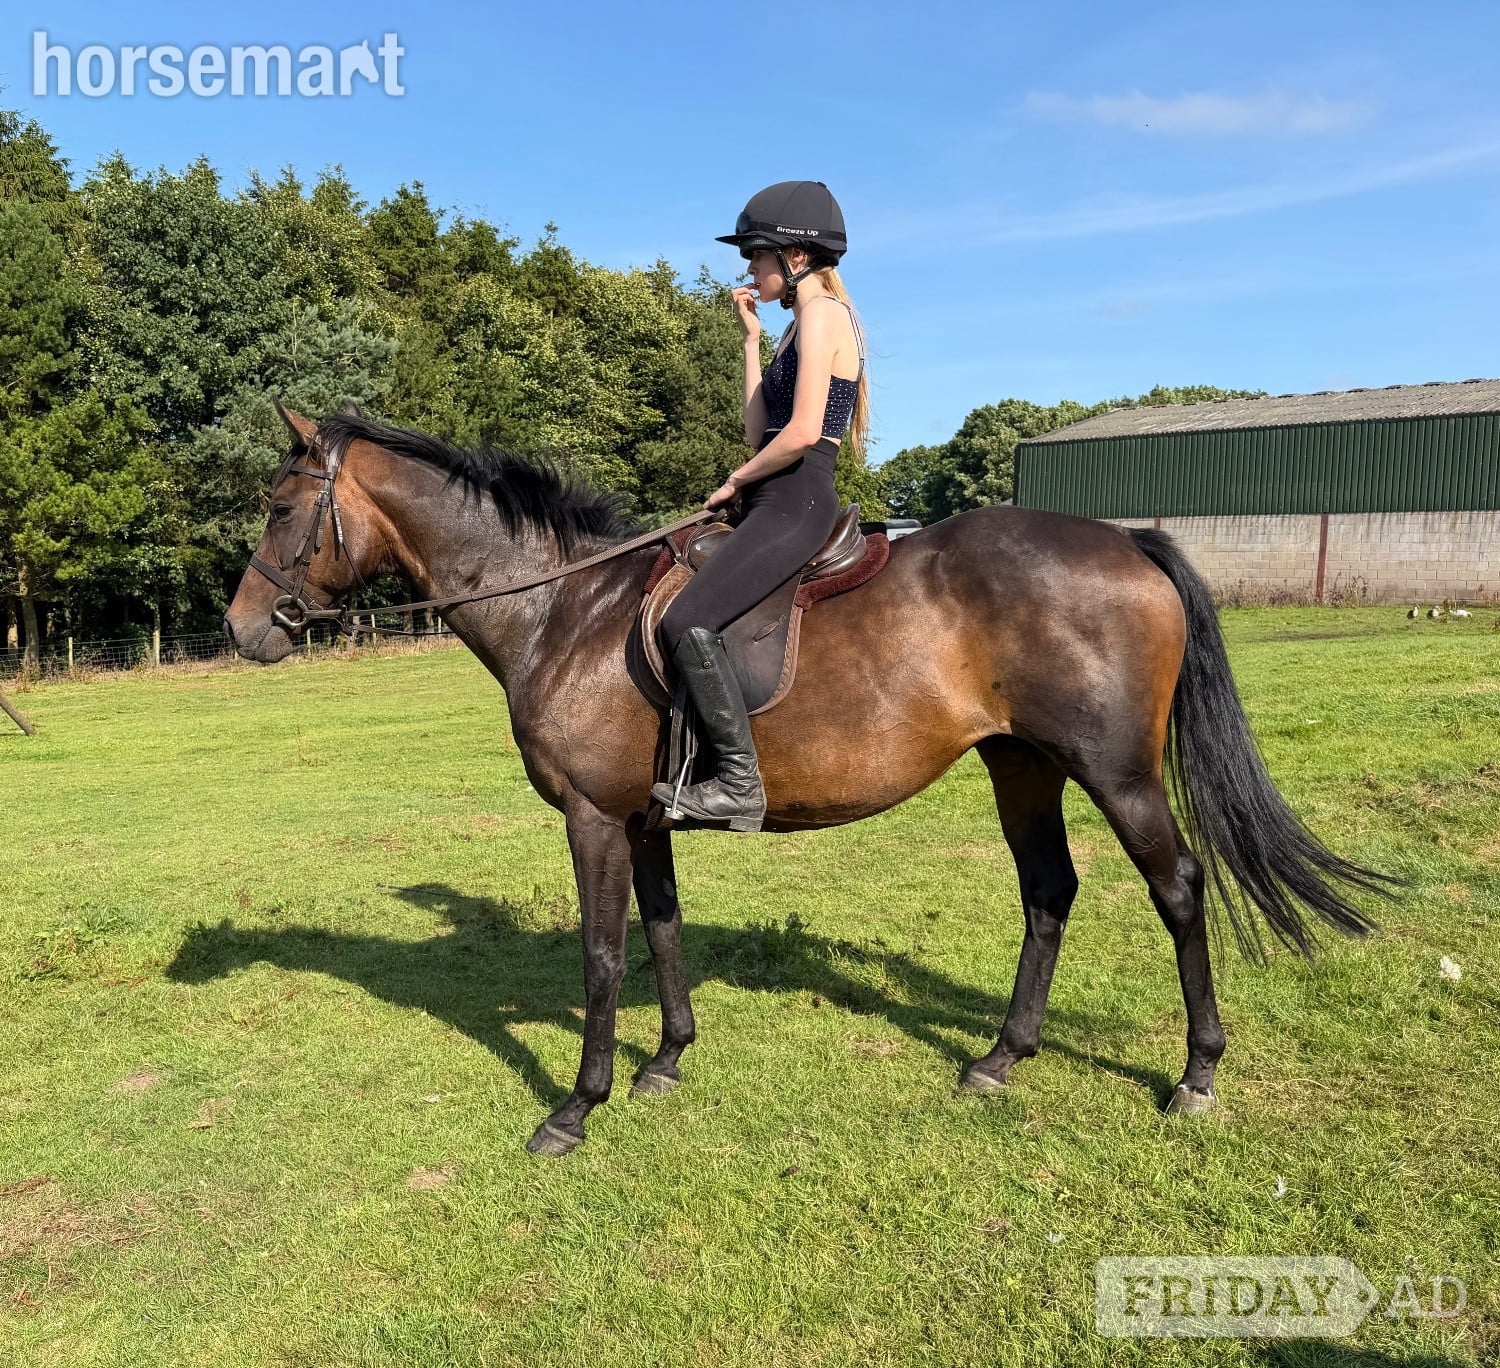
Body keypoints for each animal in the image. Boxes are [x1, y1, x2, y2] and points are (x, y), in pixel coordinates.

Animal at [223, 407, 1394, 1156]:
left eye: (280, 508)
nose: (241, 630)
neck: (567, 609)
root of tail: (1129, 542)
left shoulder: (595, 819)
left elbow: (601, 957)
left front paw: (578, 1109)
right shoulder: (645, 820)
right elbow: (662, 932)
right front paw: (667, 1062)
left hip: (1114, 772)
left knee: (1177, 889)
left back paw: (1197, 1075)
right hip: (1021, 764)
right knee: (1048, 893)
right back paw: (999, 1059)